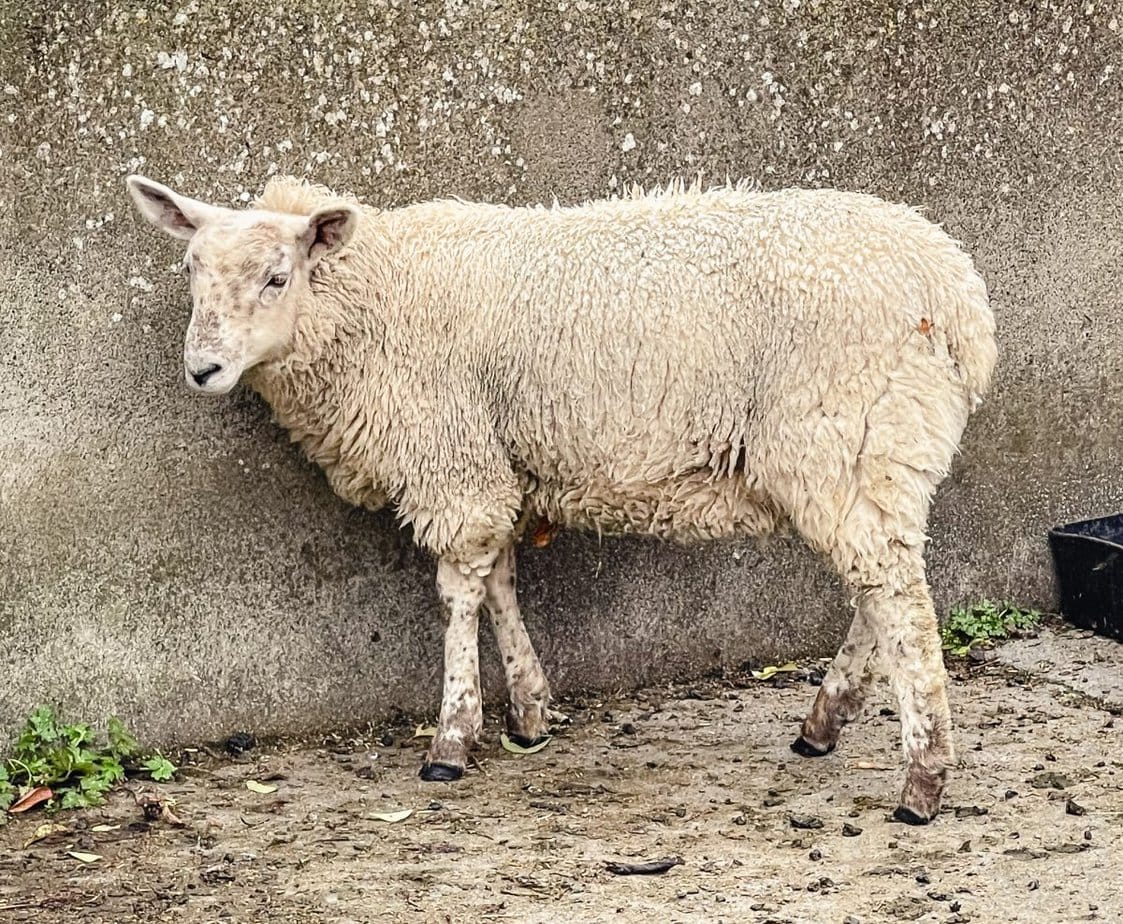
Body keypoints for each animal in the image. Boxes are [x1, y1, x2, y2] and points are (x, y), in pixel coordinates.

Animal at [127, 172, 997, 821]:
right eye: (190, 271)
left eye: (277, 277)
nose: (201, 370)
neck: (373, 299)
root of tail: (958, 296)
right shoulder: (498, 463)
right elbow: (501, 583)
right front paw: (529, 714)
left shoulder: (453, 460)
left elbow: (457, 593)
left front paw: (452, 737)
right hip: (883, 452)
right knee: (884, 587)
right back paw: (826, 722)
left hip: (842, 435)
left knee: (896, 597)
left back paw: (922, 778)